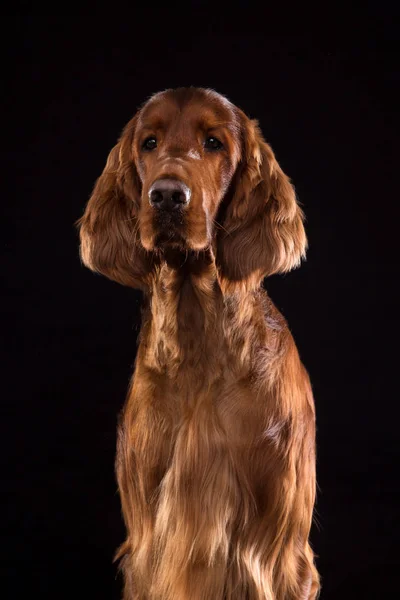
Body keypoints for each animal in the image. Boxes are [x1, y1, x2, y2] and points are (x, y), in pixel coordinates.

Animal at [77, 86, 318, 596]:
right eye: (149, 143)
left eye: (213, 142)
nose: (167, 195)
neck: (198, 342)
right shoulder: (147, 545)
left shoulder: (283, 554)